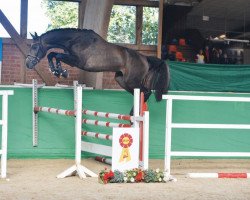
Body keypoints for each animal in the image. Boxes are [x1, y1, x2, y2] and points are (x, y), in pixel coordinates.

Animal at [25, 28, 170, 106]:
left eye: (35, 46)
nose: (28, 63)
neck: (74, 40)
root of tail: (145, 59)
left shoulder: (77, 61)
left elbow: (55, 54)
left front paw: (59, 71)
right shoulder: (71, 59)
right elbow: (53, 55)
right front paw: (57, 71)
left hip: (132, 80)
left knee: (146, 91)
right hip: (121, 80)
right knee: (140, 93)